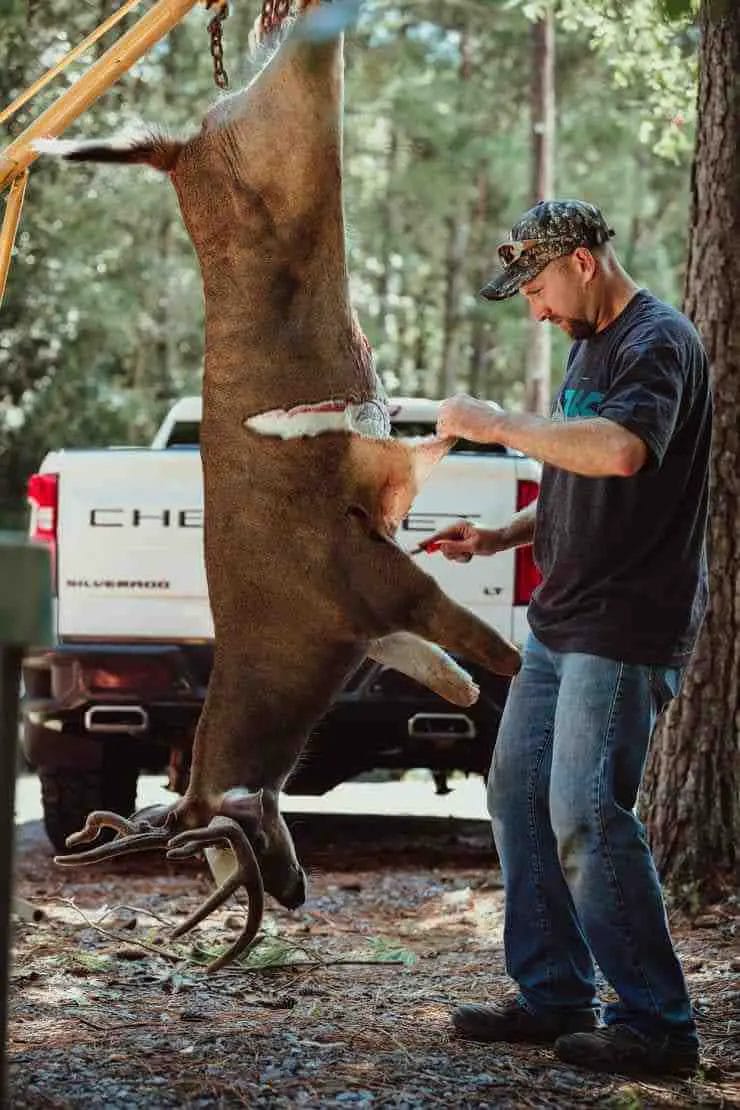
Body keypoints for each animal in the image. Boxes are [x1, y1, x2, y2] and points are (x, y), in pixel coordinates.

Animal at [38, 0, 520, 972]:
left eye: (221, 845)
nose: (292, 892)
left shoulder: (364, 574)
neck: (302, 649)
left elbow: (487, 642)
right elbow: (440, 665)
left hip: (287, 132)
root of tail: (184, 151)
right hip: (269, 124)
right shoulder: (371, 611)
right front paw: (459, 689)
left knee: (301, 55)